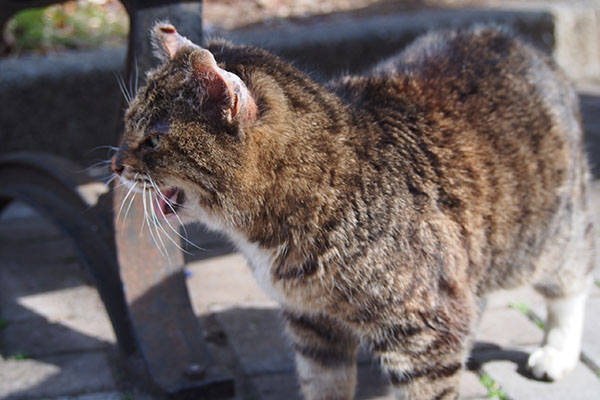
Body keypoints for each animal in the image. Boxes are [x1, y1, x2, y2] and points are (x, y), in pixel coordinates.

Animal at [111, 22, 596, 400]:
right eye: (127, 123)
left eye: (152, 140)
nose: (115, 164)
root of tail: (516, 39)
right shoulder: (314, 328)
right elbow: (324, 385)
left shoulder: (423, 334)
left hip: (547, 238)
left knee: (574, 278)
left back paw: (557, 351)